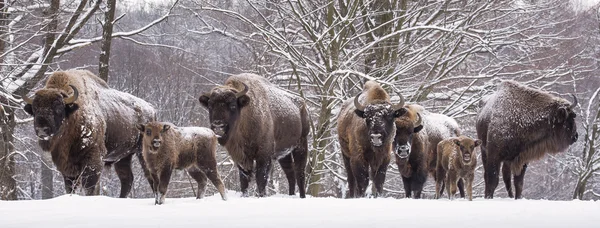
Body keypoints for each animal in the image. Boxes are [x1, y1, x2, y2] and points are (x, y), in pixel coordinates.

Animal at [22, 70, 156, 198]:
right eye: (34, 109)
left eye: (58, 107)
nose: (42, 130)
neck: (74, 114)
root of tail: (152, 109)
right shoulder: (67, 166)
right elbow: (70, 187)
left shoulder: (93, 159)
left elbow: (89, 187)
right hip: (123, 157)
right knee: (127, 179)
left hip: (143, 153)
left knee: (151, 175)